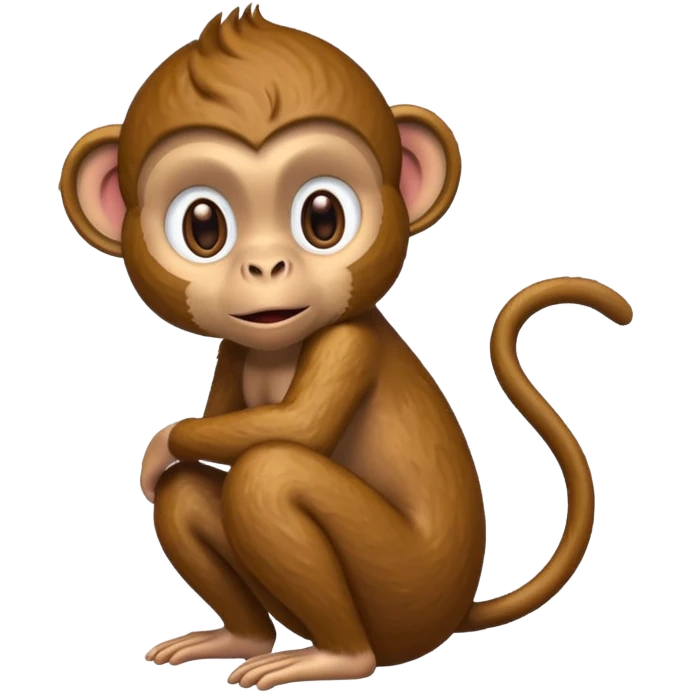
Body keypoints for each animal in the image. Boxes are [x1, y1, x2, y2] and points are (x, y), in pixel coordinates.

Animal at [57, 4, 633, 689]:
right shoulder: (234, 349)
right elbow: (221, 425)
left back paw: (337, 657)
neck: (281, 346)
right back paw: (241, 637)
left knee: (271, 474)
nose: (266, 267)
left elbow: (296, 428)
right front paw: (169, 449)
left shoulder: (345, 342)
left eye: (323, 218)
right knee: (188, 494)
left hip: (401, 587)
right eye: (203, 227)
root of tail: (458, 609)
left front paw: (163, 442)